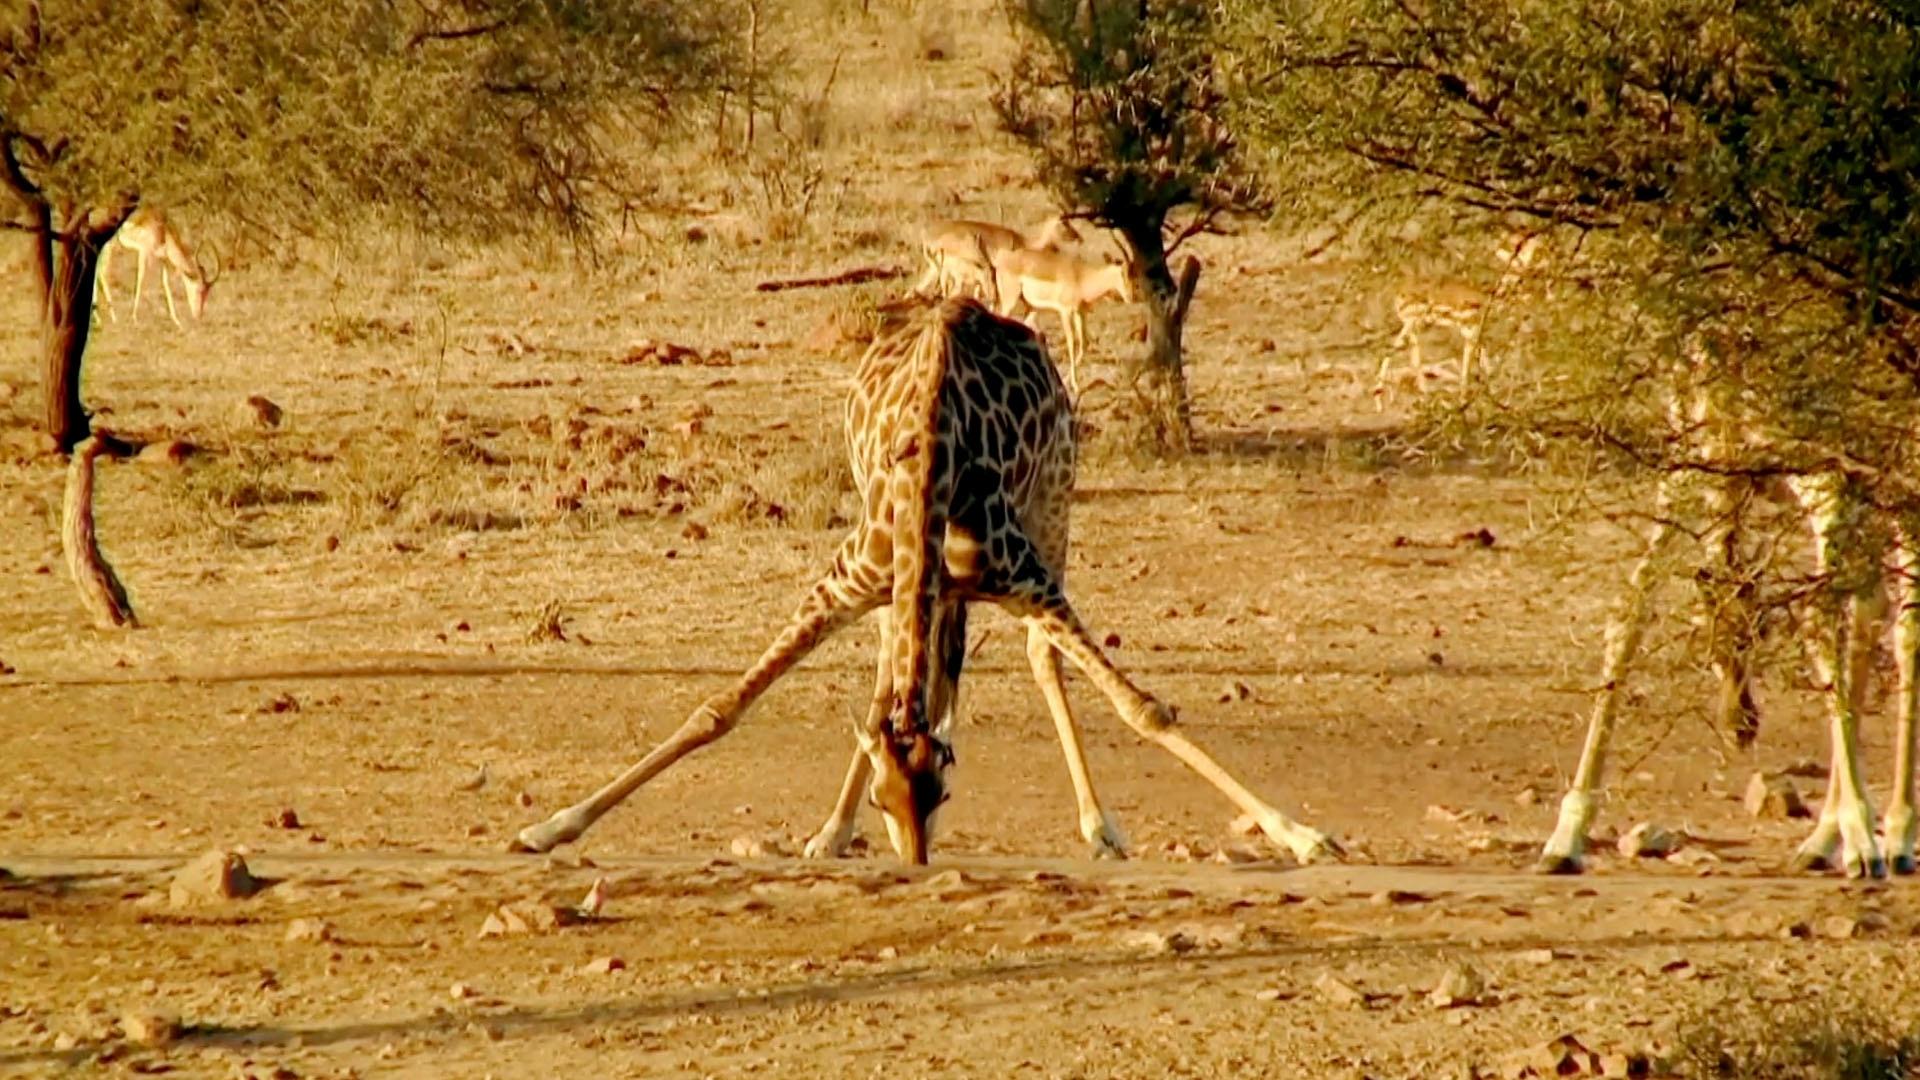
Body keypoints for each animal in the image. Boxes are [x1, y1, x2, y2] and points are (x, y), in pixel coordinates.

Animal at [518, 294, 1344, 864]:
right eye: (888, 801)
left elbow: (1144, 709)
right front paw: (551, 826)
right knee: (895, 679)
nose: (916, 862)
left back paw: (1097, 827)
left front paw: (1303, 835)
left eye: (942, 791)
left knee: (1036, 659)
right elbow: (719, 709)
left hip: (1053, 503)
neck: (932, 464)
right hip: (911, 587)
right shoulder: (848, 580)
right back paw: (828, 833)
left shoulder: (1023, 574)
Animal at [990, 245, 1136, 393]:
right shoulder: (1065, 312)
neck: (1081, 277)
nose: (1130, 297)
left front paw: (1067, 381)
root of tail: (1002, 258)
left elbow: (1084, 344)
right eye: (1122, 273)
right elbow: (1071, 343)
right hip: (1010, 302)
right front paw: (1075, 386)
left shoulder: (1079, 313)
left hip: (1032, 308)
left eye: (1132, 274)